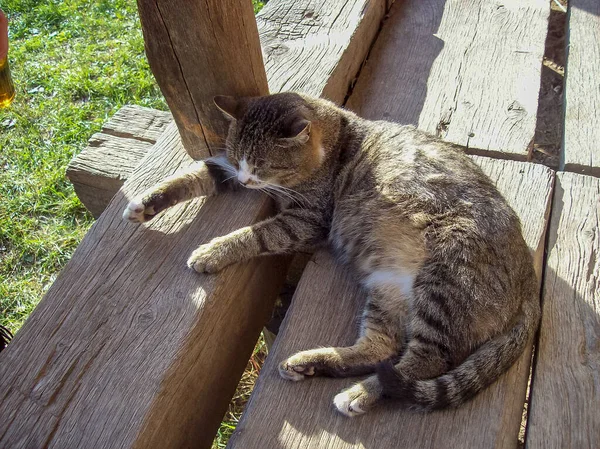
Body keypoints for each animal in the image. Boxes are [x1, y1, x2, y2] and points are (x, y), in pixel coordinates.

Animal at [122, 92, 540, 416]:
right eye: (239, 157)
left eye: (262, 164)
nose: (245, 179)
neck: (338, 137)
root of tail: (530, 282)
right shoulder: (227, 169)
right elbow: (192, 176)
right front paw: (146, 203)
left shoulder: (306, 220)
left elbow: (254, 235)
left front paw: (213, 250)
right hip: (388, 288)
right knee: (380, 348)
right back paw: (309, 364)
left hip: (444, 282)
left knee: (422, 362)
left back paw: (361, 393)